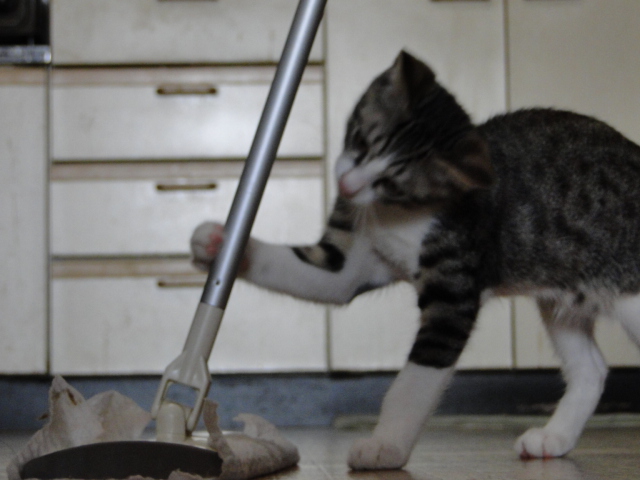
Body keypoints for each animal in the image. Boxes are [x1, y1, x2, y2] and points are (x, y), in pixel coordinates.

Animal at [191, 50, 640, 470]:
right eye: (359, 138)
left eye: (392, 181)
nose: (346, 184)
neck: (394, 216)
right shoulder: (346, 264)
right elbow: (307, 271)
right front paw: (220, 244)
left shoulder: (453, 293)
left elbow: (416, 382)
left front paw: (386, 447)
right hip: (561, 291)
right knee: (591, 369)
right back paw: (554, 438)